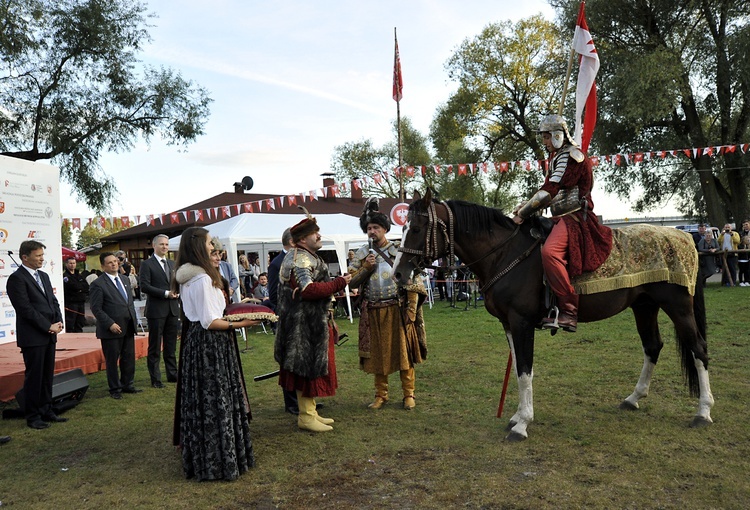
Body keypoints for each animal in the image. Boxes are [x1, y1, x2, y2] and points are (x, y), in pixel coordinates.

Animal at [394, 188, 716, 442]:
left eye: (417, 228)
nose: (398, 273)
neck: (505, 252)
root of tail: (683, 236)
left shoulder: (521, 322)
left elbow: (525, 371)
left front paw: (522, 424)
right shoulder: (508, 325)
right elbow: (522, 369)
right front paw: (517, 416)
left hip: (678, 306)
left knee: (698, 349)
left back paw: (703, 412)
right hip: (644, 306)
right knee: (652, 347)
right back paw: (634, 398)